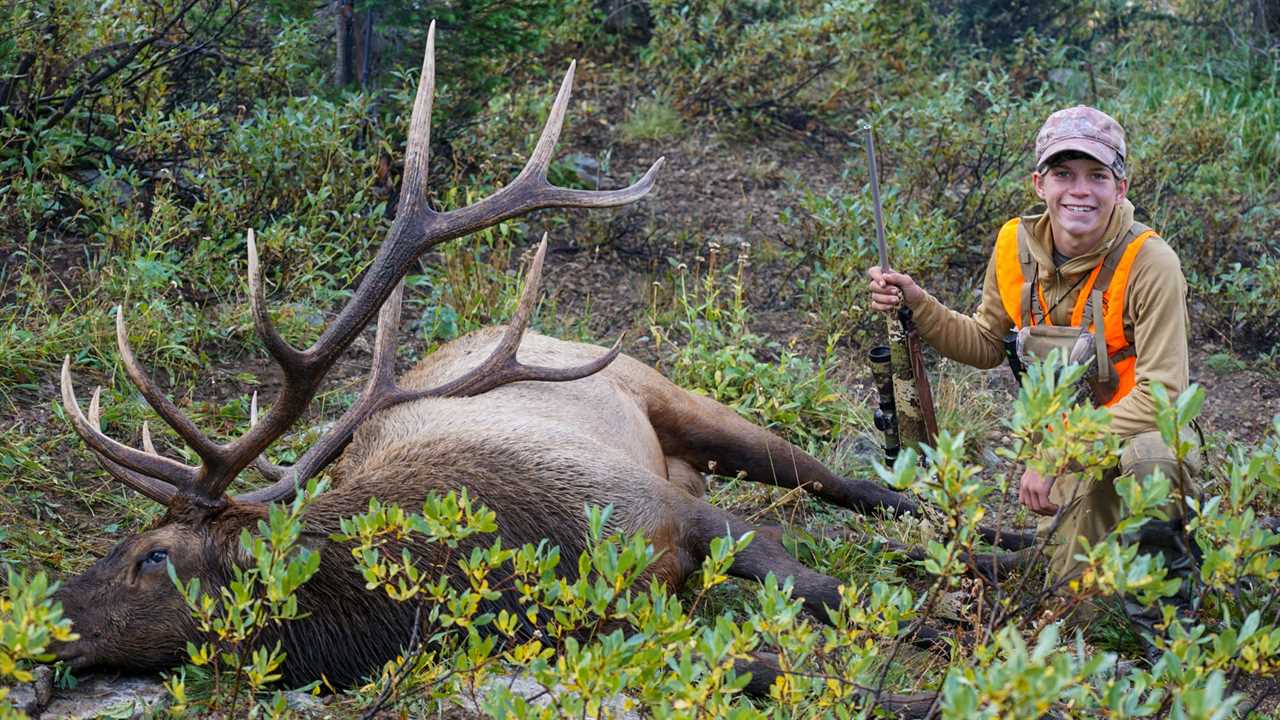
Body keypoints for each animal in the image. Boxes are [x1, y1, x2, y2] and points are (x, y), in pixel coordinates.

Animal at [52, 26, 931, 696]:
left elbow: (815, 582)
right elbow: (763, 665)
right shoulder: (601, 632)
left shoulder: (663, 508)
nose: (49, 611)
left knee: (841, 480)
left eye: (153, 556)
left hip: (676, 397)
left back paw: (946, 523)